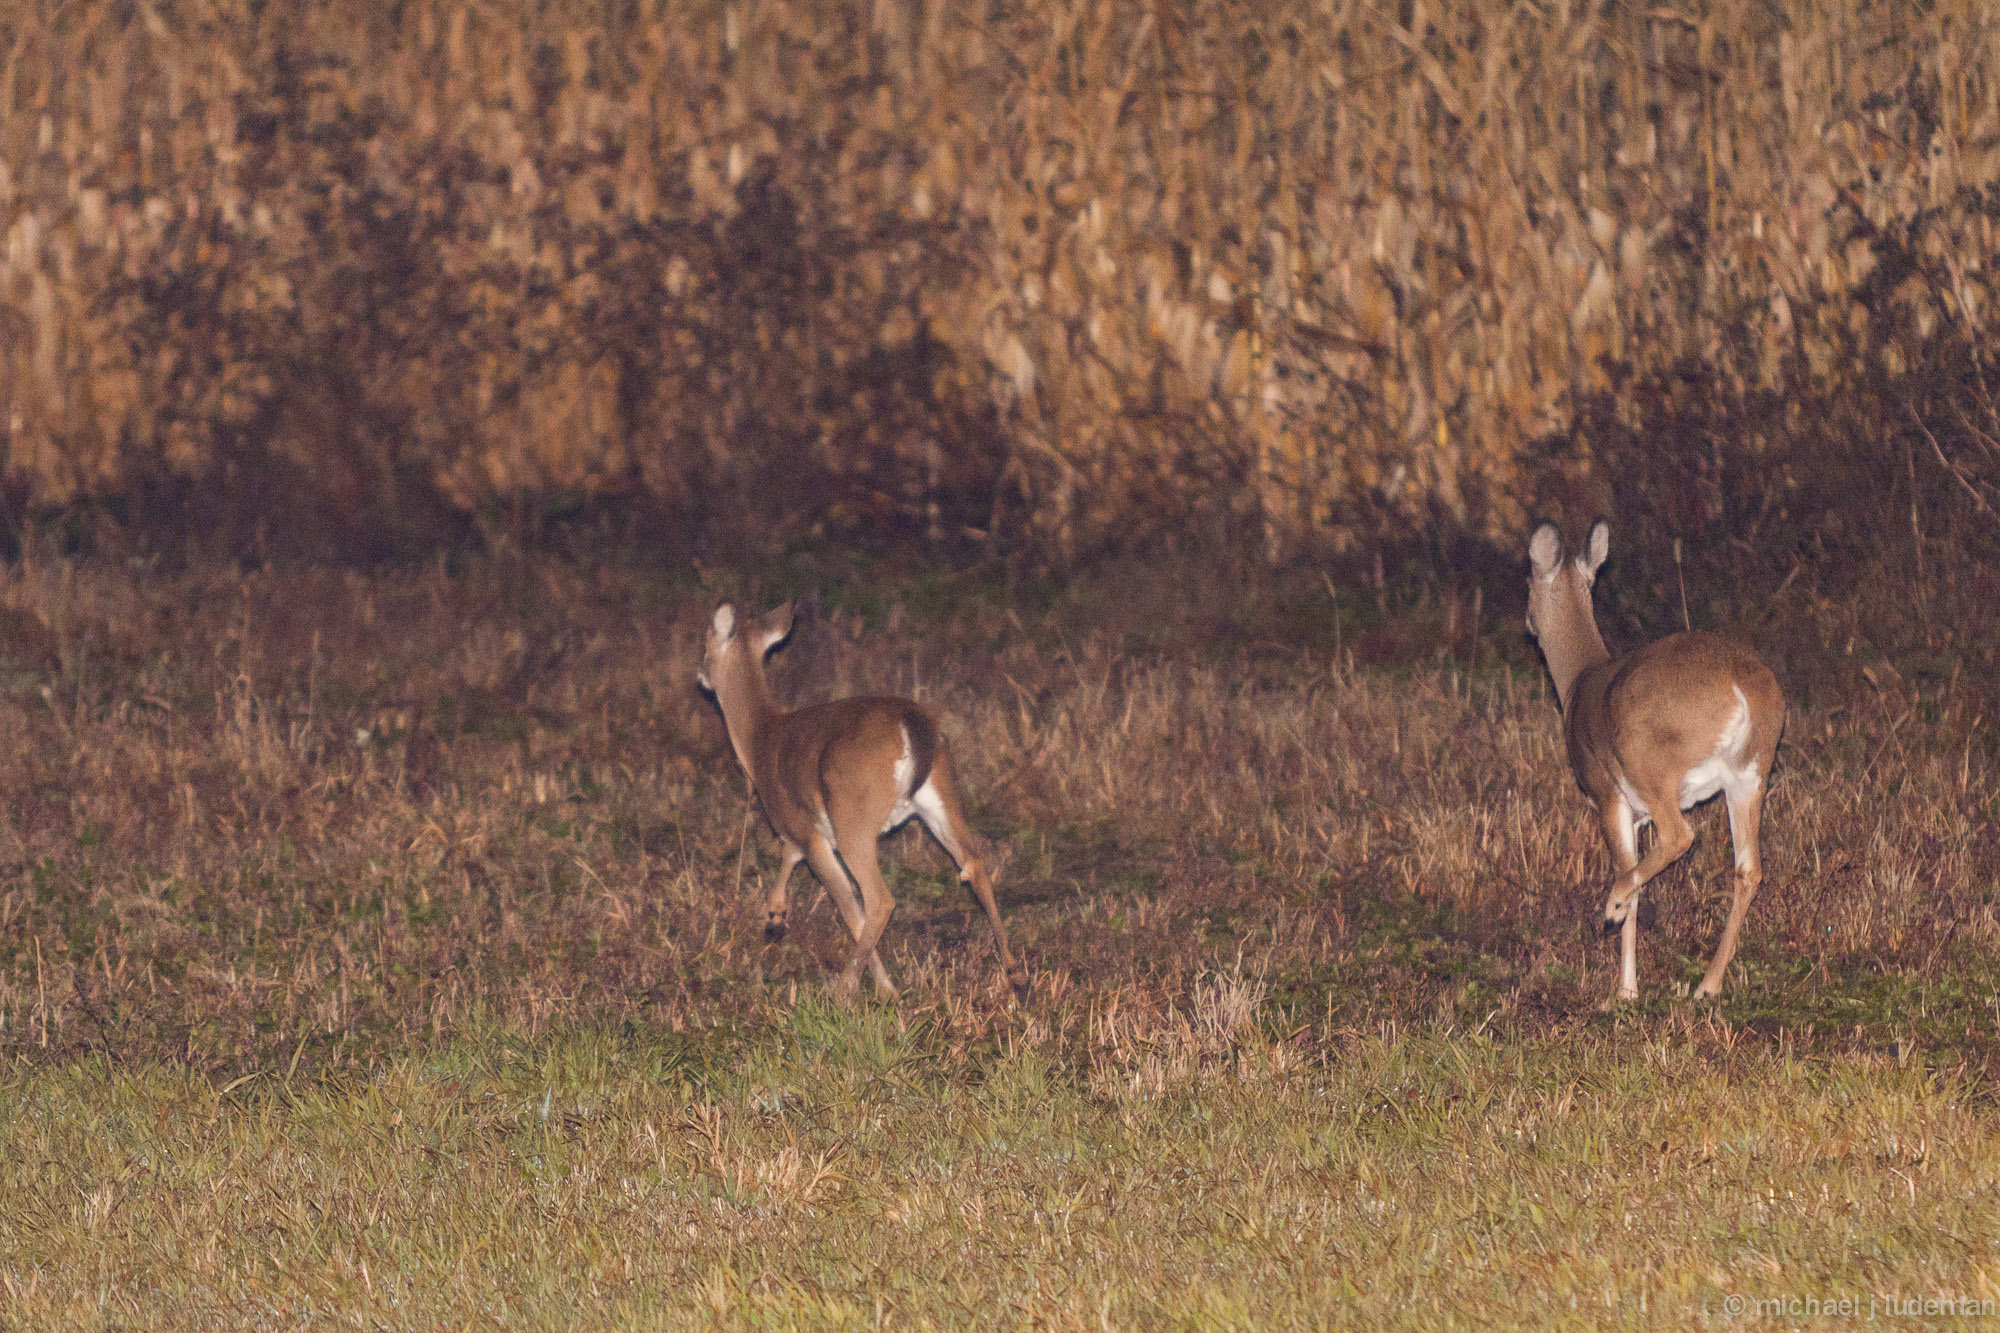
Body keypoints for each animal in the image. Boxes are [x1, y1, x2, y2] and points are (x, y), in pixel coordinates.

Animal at [697, 602, 1022, 999]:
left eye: (707, 643)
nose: (700, 675)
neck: (761, 739)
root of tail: (915, 724)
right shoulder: (808, 826)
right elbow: (791, 856)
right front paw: (774, 915)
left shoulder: (806, 828)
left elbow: (848, 905)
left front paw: (881, 987)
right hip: (942, 796)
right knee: (975, 865)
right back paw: (1015, 975)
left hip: (854, 814)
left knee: (879, 899)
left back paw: (847, 988)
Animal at [1525, 522, 1786, 1001]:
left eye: (1526, 584)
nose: (1528, 624)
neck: (1577, 684)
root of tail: (1744, 689)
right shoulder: (1636, 813)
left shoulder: (1609, 795)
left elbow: (1629, 873)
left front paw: (1625, 988)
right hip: (1751, 773)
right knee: (1749, 869)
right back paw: (1707, 986)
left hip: (1651, 764)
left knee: (1680, 836)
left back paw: (1612, 906)